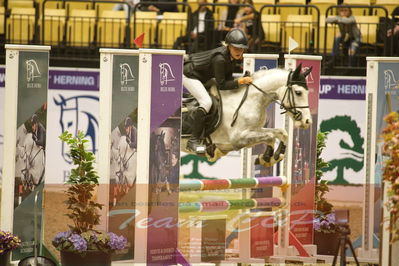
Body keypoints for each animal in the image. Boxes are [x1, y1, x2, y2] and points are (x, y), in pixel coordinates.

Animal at [183, 64, 314, 166]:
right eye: (298, 92)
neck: (250, 100)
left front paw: (275, 156)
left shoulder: (255, 129)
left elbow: (282, 133)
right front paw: (267, 157)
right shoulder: (238, 139)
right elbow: (270, 136)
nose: (308, 121)